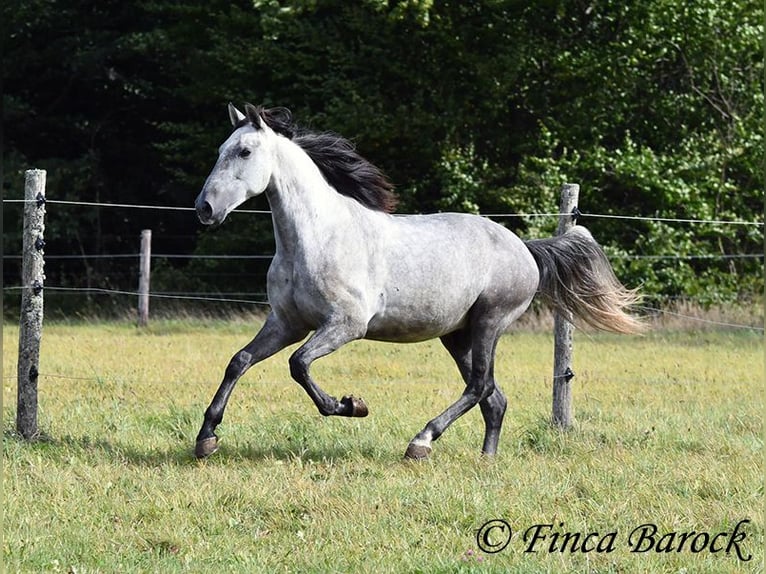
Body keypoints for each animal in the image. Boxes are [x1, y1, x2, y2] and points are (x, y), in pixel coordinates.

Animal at [190, 104, 640, 464]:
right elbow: (239, 361)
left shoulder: (345, 325)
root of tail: (525, 248)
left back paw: (421, 442)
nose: (204, 209)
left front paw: (352, 405)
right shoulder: (287, 323)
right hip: (457, 335)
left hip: (489, 321)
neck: (318, 238)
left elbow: (298, 365)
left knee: (480, 386)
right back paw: (486, 459)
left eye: (245, 151)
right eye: (219, 151)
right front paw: (206, 439)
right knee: (494, 398)